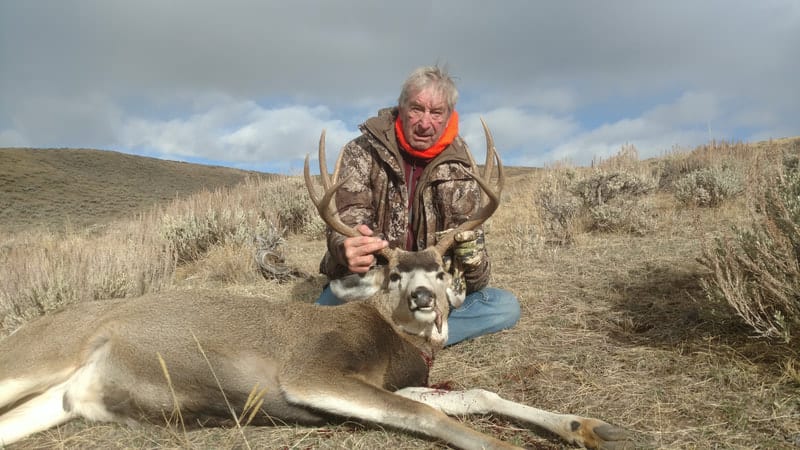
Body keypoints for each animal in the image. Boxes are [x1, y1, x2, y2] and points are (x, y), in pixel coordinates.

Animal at [0, 121, 633, 450]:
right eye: (393, 273)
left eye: (441, 269)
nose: (424, 300)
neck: (388, 339)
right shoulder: (313, 371)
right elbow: (435, 417)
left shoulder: (388, 380)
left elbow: (475, 395)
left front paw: (589, 426)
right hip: (38, 356)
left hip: (61, 399)